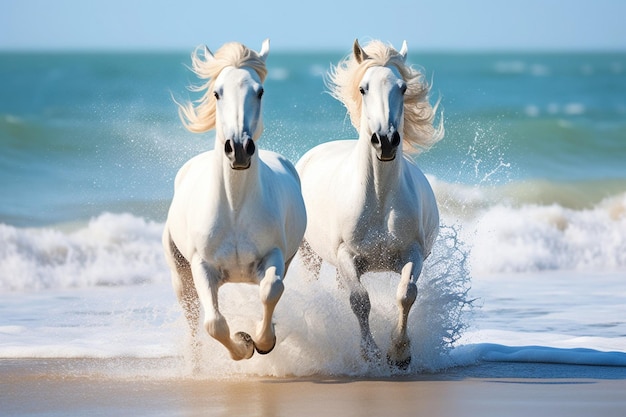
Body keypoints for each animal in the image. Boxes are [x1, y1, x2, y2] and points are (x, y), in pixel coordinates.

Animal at [163, 39, 304, 360]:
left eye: (260, 91)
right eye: (217, 92)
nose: (238, 148)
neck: (235, 208)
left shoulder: (274, 256)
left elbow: (271, 290)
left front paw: (262, 341)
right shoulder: (201, 266)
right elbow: (214, 323)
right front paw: (243, 345)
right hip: (181, 276)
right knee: (193, 320)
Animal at [294, 39, 442, 368]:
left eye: (402, 87)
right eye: (363, 88)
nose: (385, 141)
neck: (379, 199)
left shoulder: (412, 253)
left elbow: (406, 294)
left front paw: (399, 353)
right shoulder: (346, 255)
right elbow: (360, 301)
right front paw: (370, 353)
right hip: (311, 255)